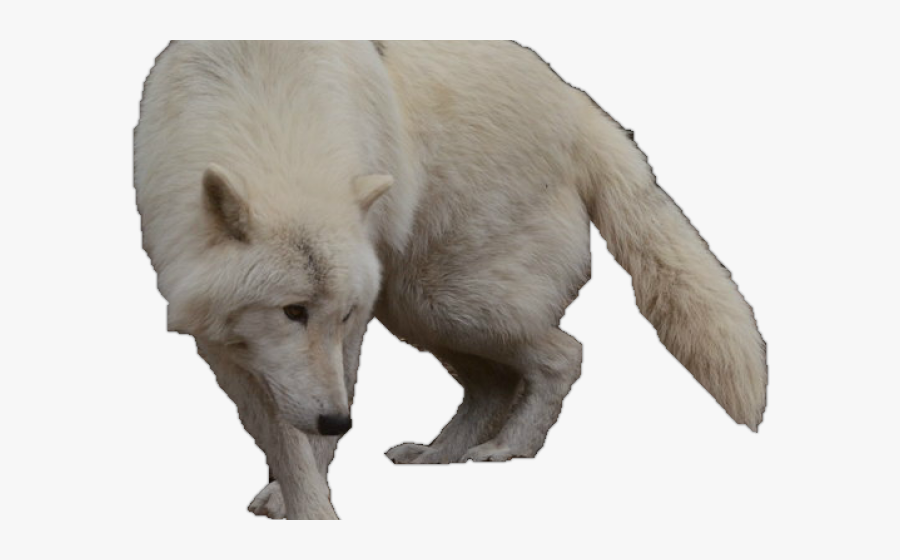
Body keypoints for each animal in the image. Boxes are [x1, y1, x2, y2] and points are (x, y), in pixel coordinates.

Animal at [134, 41, 767, 519]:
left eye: (340, 313)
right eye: (293, 310)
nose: (339, 419)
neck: (269, 106)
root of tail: (580, 107)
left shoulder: (352, 331)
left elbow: (308, 439)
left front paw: (311, 511)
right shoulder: (222, 340)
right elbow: (277, 433)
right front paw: (292, 492)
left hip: (450, 303)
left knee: (564, 354)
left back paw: (508, 447)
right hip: (422, 311)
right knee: (491, 385)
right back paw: (438, 456)